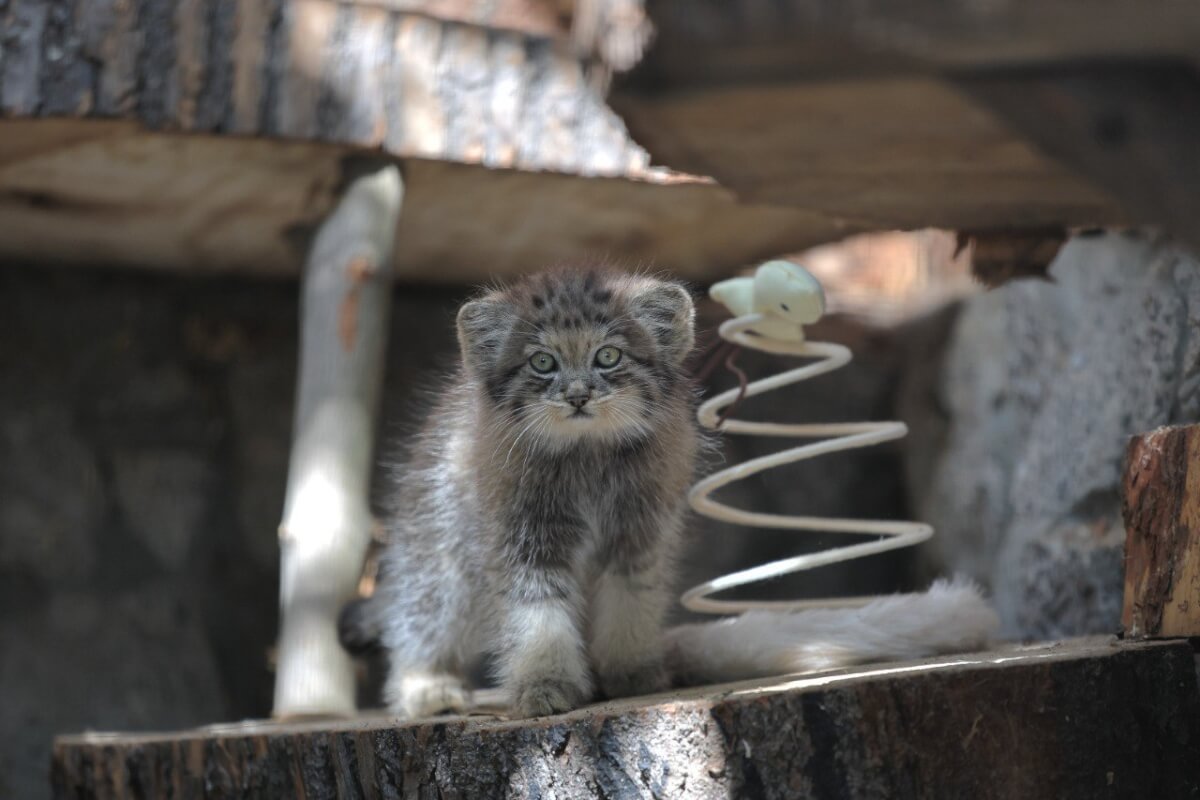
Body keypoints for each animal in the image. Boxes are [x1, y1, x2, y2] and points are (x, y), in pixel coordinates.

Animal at [350, 266, 700, 714]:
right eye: (543, 362)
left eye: (608, 356)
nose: (577, 395)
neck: (586, 455)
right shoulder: (523, 537)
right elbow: (538, 618)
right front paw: (545, 684)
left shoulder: (637, 536)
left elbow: (630, 603)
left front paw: (630, 671)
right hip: (441, 558)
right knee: (421, 618)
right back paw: (426, 686)